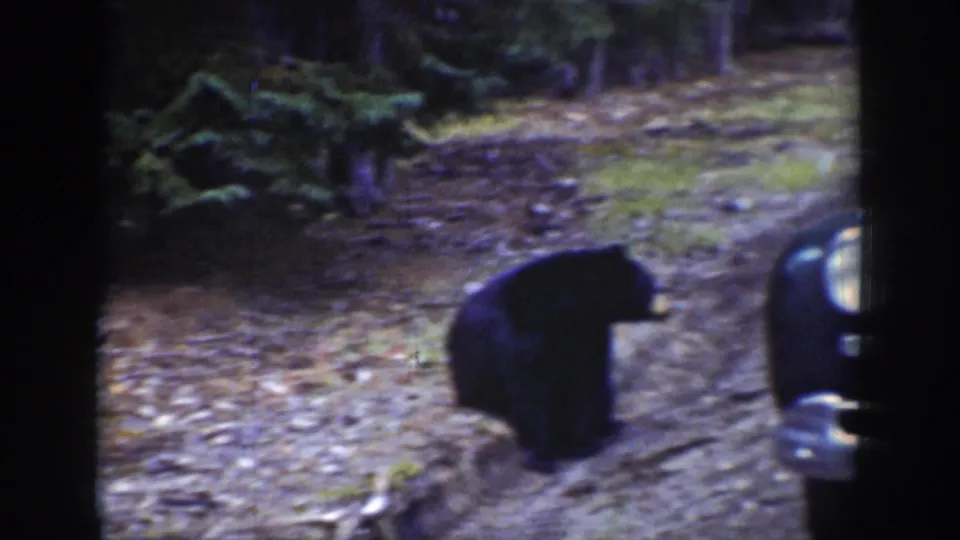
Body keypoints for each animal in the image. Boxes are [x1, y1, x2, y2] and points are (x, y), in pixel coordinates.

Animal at [445, 244, 671, 474]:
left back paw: (609, 425)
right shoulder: (523, 339)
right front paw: (543, 455)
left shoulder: (592, 335)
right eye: (646, 277)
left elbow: (585, 384)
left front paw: (579, 442)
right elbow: (531, 393)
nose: (661, 287)